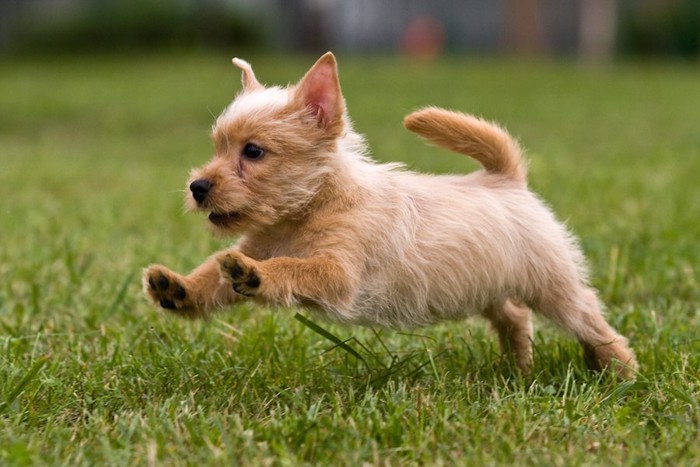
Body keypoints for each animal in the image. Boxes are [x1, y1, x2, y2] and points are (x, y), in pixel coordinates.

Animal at [142, 53, 636, 378]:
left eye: (253, 152)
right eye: (217, 147)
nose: (198, 187)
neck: (306, 212)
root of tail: (507, 179)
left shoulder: (338, 273)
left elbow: (293, 268)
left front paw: (257, 275)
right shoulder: (258, 244)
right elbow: (212, 274)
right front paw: (179, 288)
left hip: (553, 286)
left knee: (589, 318)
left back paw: (619, 370)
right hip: (487, 283)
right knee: (514, 316)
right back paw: (516, 368)